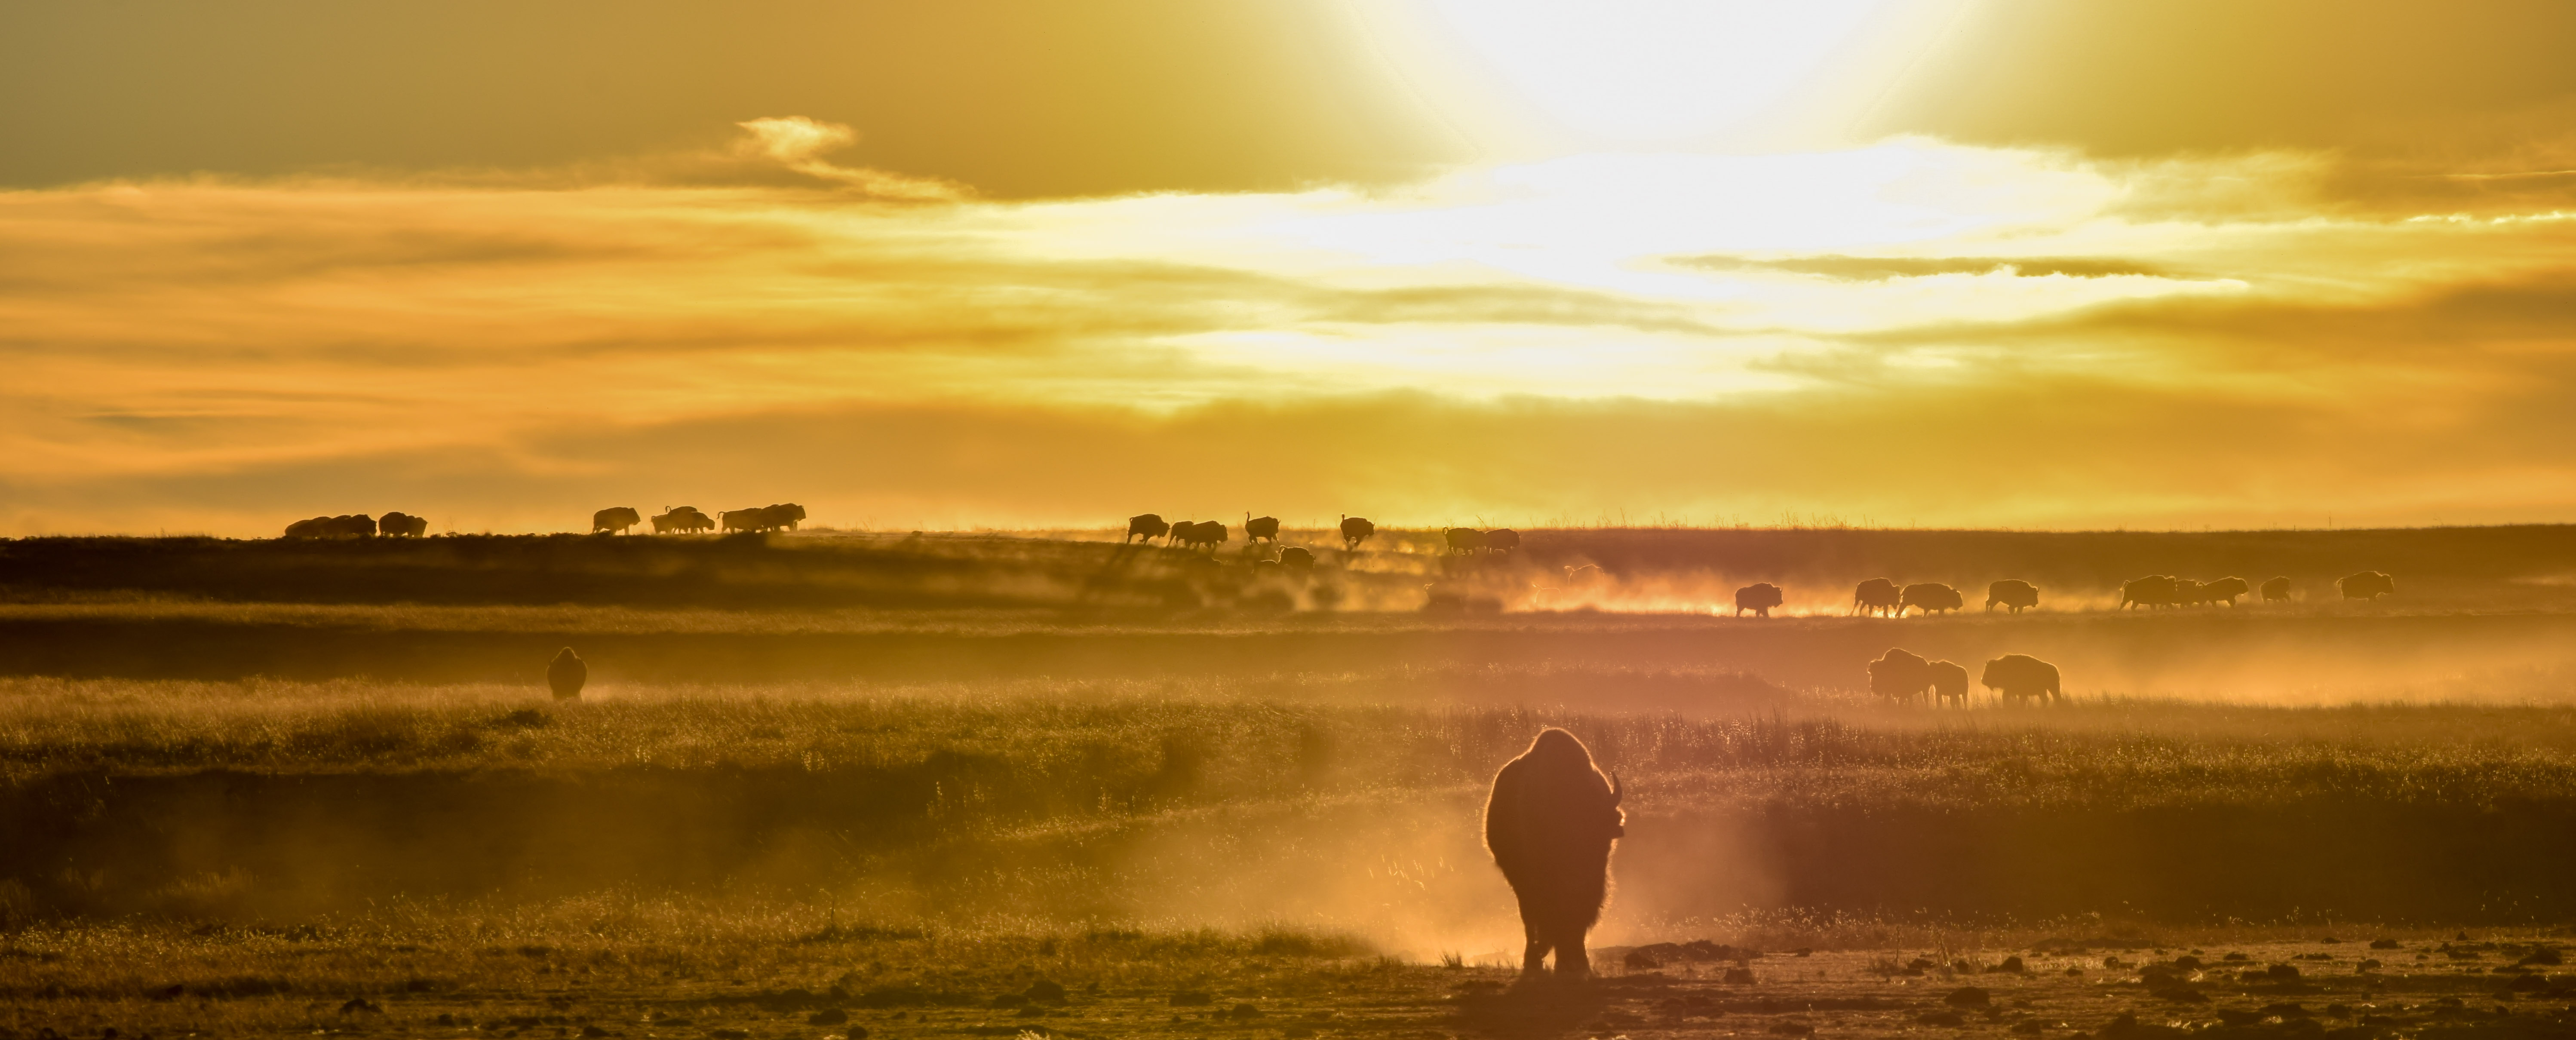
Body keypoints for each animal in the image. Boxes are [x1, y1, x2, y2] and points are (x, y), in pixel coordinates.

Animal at [1485, 728, 1625, 981]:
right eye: (1563, 833)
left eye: (1600, 835)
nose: (1579, 879)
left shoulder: (1593, 884)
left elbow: (1578, 918)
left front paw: (1577, 963)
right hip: (1520, 883)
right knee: (1530, 919)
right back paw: (1533, 960)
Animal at [1869, 648, 1932, 704]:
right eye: (1872, 674)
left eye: (1879, 674)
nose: (1872, 688)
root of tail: (1927, 665)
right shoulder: (1888, 692)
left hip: (1925, 689)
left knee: (1926, 700)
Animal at [1901, 582, 1964, 617]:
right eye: (1957, 597)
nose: (1961, 605)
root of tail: (1905, 589)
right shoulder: (1941, 608)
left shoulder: (1938, 608)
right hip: (1908, 602)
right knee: (1902, 607)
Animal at [1981, 654, 2061, 705]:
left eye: (1990, 671)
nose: (1983, 681)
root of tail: (2055, 669)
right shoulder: (2009, 690)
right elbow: (2006, 698)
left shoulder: (2021, 693)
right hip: (2042, 691)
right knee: (2046, 700)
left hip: (2053, 689)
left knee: (2056, 698)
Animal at [2338, 571, 2395, 600]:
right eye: (2387, 583)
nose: (2392, 590)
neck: (2379, 580)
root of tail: (2345, 579)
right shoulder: (2372, 596)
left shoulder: (2373, 596)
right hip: (2346, 596)